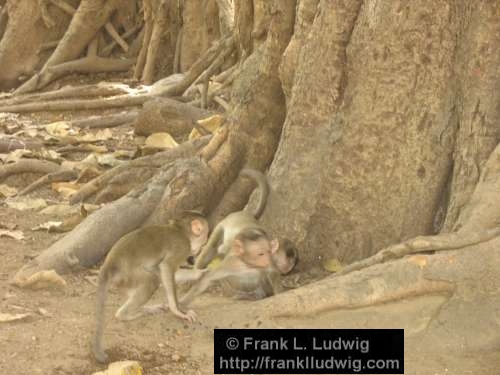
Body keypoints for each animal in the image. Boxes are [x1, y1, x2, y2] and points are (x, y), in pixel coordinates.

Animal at [92, 213, 209, 366]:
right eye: (205, 237)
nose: (202, 247)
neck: (180, 230)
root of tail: (109, 264)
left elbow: (165, 271)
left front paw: (200, 273)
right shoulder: (182, 247)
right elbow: (166, 267)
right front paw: (178, 311)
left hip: (123, 281)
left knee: (151, 278)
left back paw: (144, 308)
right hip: (128, 275)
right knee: (152, 280)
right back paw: (124, 314)